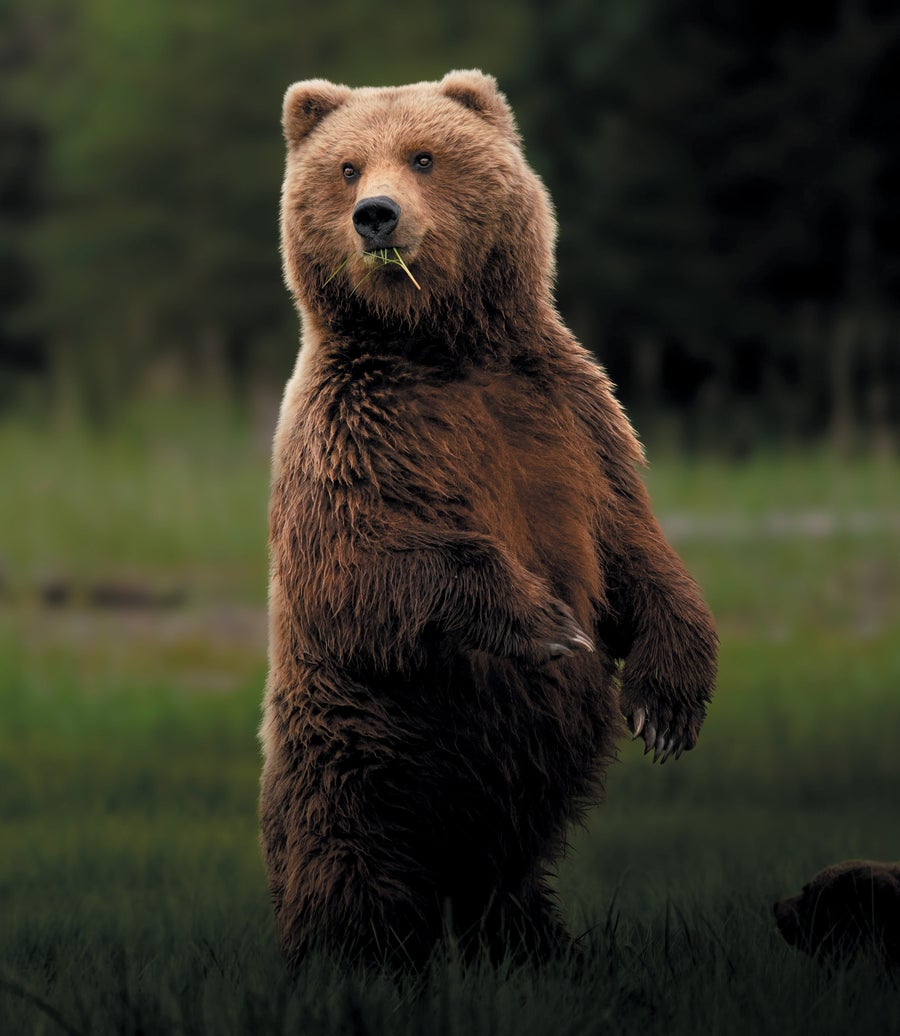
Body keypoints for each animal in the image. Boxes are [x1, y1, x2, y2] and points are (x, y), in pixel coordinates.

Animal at [257, 68, 716, 965]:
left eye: (424, 156)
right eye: (348, 168)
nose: (377, 216)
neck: (442, 347)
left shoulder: (570, 418)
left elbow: (632, 546)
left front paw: (667, 707)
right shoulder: (350, 436)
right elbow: (364, 564)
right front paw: (547, 623)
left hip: (504, 800)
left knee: (510, 872)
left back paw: (547, 948)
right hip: (358, 743)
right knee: (350, 857)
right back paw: (355, 954)